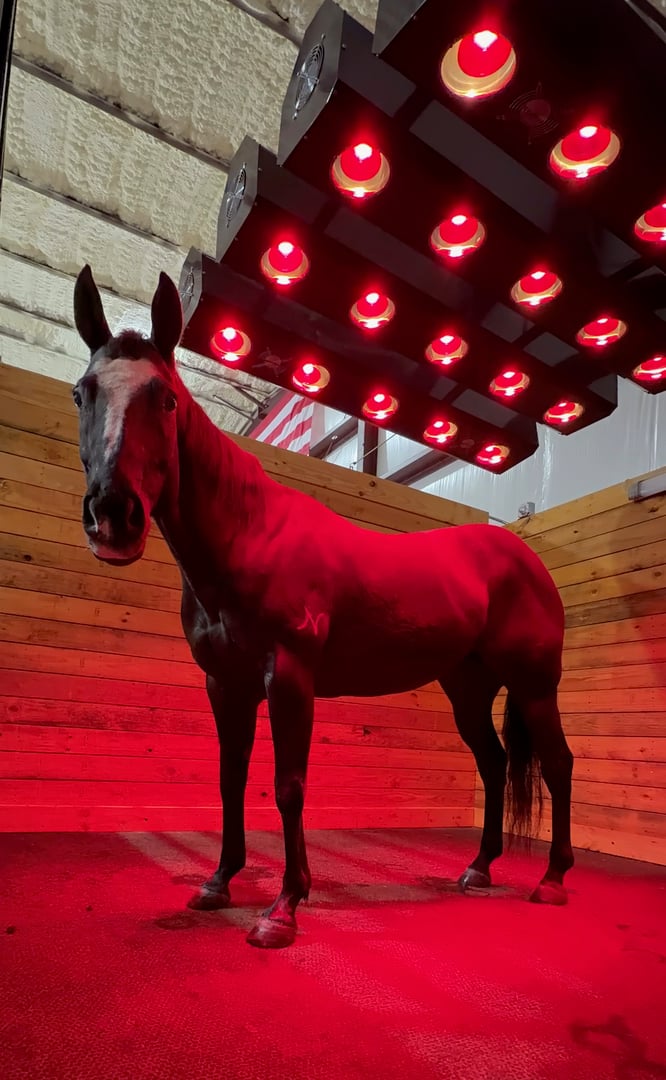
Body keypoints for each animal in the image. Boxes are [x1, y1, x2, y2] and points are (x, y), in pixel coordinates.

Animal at [71, 264, 574, 949]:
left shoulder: (288, 678)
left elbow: (288, 786)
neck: (250, 537)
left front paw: (283, 908)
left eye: (166, 399)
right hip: (469, 688)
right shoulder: (225, 685)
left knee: (558, 765)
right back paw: (478, 868)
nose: (113, 517)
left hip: (533, 685)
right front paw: (218, 883)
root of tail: (522, 555)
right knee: (495, 765)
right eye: (81, 393)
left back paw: (551, 881)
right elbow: (231, 780)